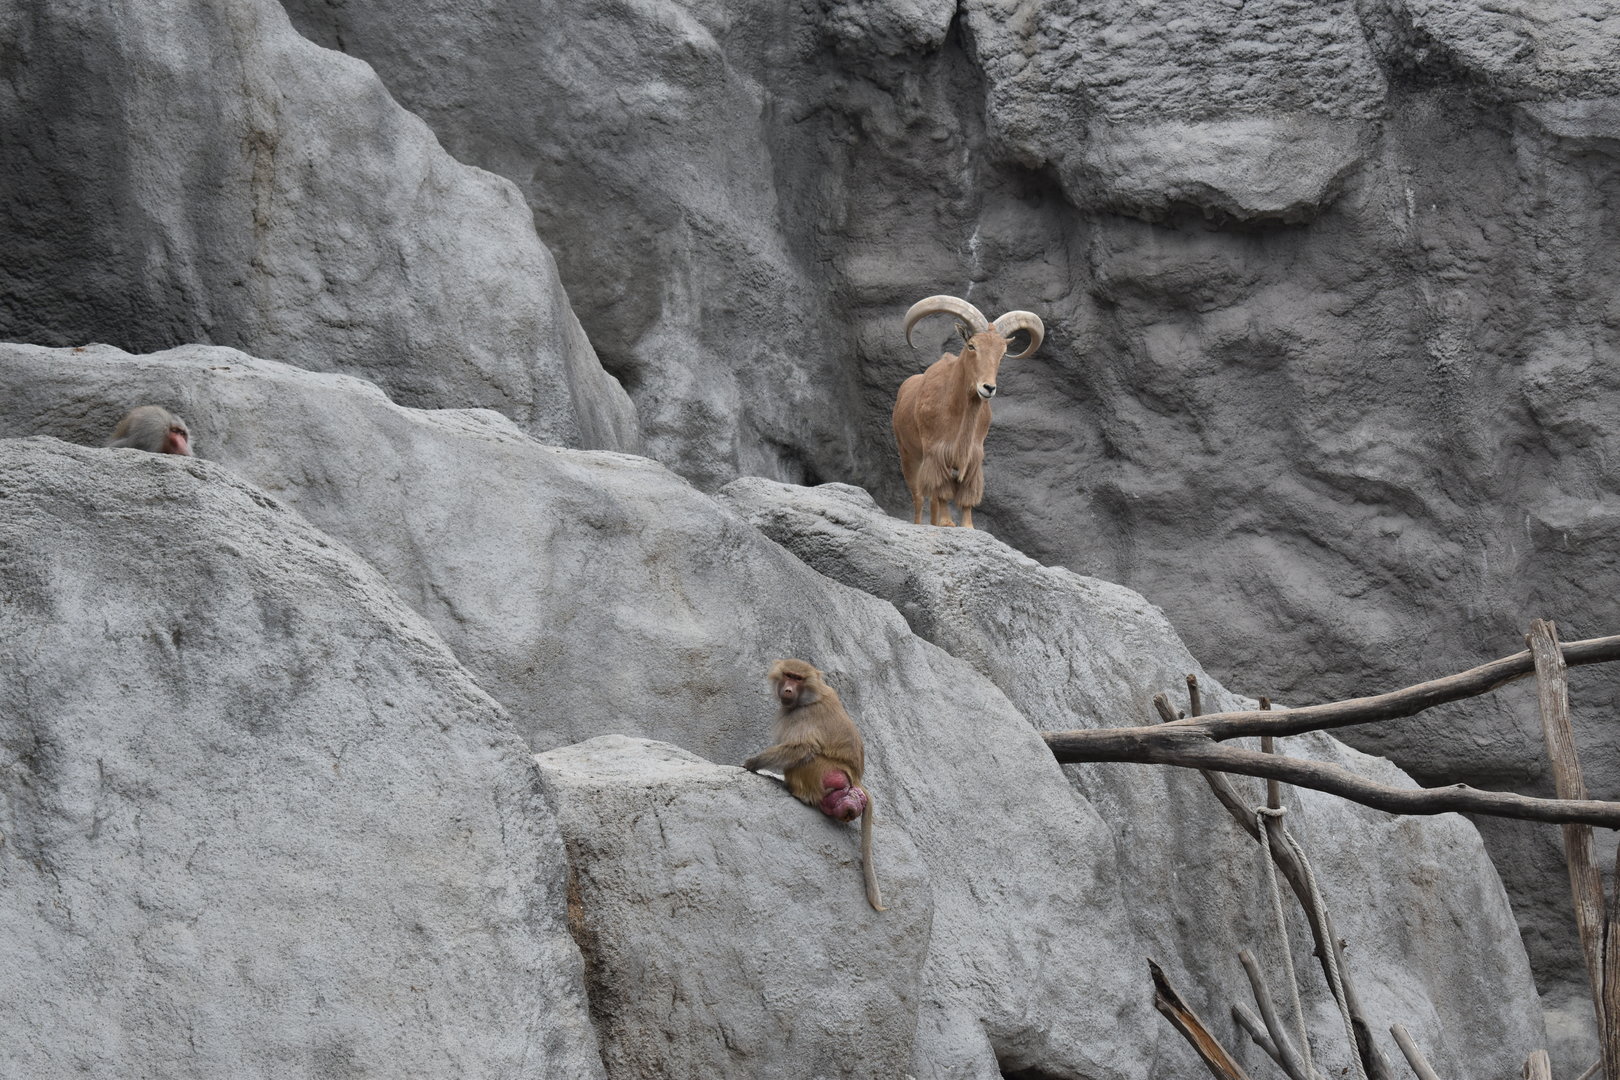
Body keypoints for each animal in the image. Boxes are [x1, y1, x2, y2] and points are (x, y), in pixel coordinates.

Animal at [744, 659, 886, 911]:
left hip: (821, 772)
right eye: (788, 675)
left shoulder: (802, 716)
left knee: (807, 756)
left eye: (798, 679)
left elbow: (802, 747)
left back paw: (798, 793)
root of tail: (857, 780)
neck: (811, 695)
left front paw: (751, 763)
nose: (787, 690)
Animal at [890, 295, 1044, 529]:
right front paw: (947, 522)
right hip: (908, 454)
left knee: (931, 499)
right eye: (972, 346)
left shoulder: (974, 457)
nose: (988, 388)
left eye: (1002, 353)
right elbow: (942, 490)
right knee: (919, 497)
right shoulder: (936, 453)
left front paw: (967, 525)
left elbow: (967, 495)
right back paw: (920, 523)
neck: (956, 409)